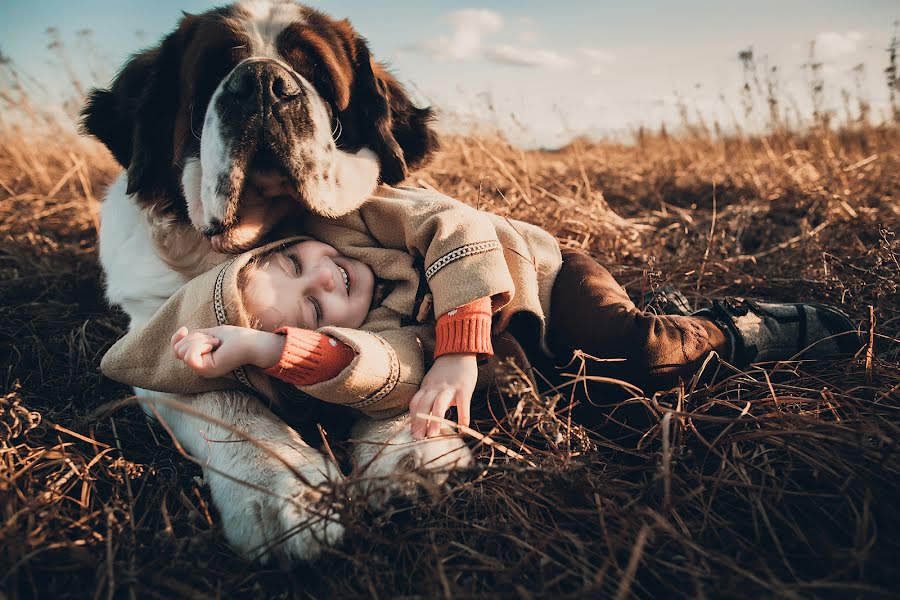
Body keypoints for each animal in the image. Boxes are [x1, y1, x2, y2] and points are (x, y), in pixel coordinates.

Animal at [83, 0, 472, 564]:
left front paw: (412, 449)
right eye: (214, 72)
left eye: (316, 75)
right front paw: (285, 492)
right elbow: (227, 405)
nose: (264, 83)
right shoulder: (153, 334)